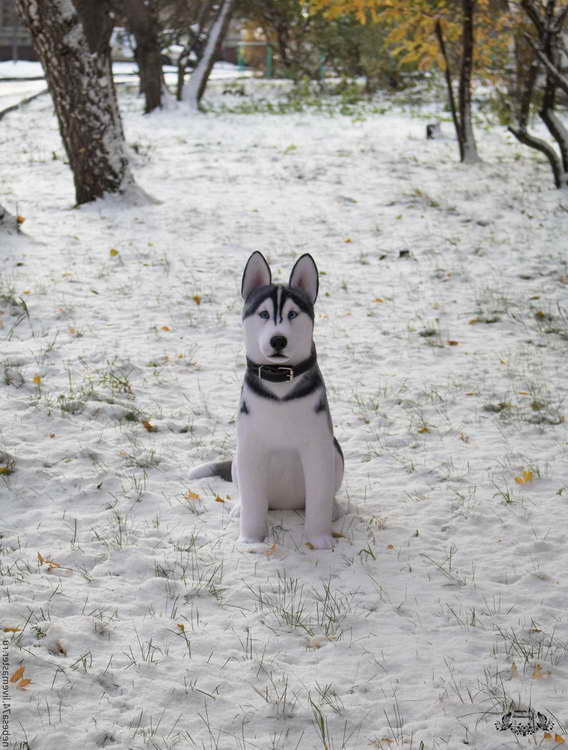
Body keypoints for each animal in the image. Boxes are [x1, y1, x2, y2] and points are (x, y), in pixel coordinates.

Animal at [190, 253, 342, 552]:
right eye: (263, 314)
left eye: (293, 314)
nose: (278, 339)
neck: (279, 382)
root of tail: (284, 504)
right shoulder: (250, 446)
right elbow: (252, 500)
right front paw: (250, 540)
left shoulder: (318, 446)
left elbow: (318, 497)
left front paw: (319, 540)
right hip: (239, 457)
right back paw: (239, 507)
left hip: (336, 453)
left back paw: (334, 509)